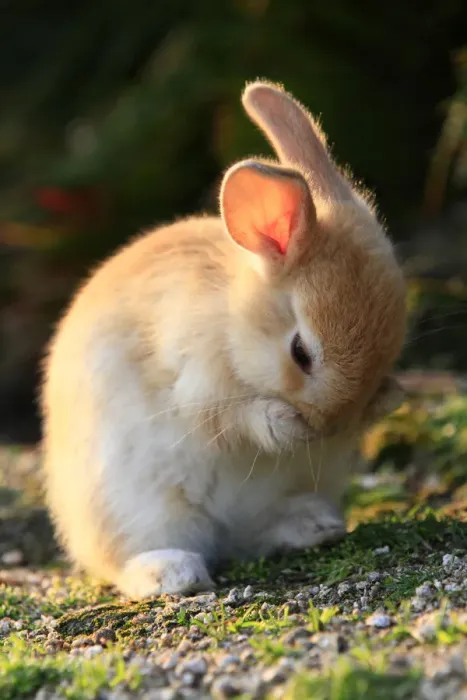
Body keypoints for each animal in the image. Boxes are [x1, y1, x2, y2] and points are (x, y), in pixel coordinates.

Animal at [41, 81, 407, 600]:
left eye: (390, 351)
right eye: (300, 353)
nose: (329, 426)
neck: (234, 318)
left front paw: (391, 397)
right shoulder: (196, 384)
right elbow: (235, 419)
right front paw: (288, 425)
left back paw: (315, 525)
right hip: (135, 507)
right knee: (125, 558)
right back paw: (170, 572)